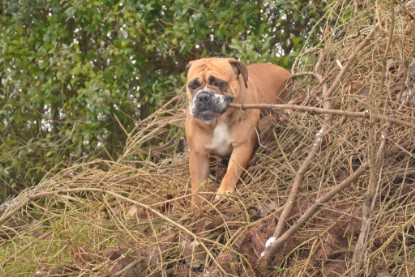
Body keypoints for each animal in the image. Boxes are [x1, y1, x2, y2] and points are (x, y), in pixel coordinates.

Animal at [186, 57, 292, 206]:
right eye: (193, 86)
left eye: (219, 83)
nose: (203, 96)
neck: (219, 121)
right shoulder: (198, 155)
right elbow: (197, 187)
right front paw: (197, 207)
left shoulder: (242, 146)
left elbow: (231, 172)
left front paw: (224, 192)